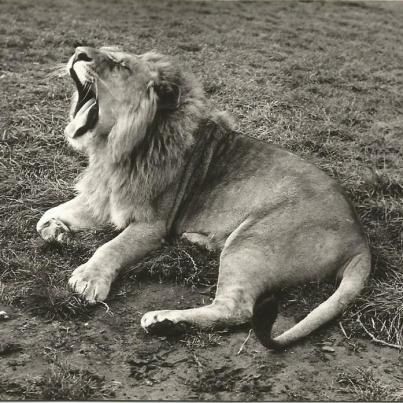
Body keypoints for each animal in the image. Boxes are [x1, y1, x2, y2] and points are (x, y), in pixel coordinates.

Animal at [38, 46, 372, 350]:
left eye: (120, 64)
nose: (78, 52)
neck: (116, 148)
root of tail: (360, 238)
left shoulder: (152, 225)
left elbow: (112, 247)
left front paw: (89, 279)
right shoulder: (104, 199)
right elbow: (43, 219)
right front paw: (58, 231)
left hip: (252, 241)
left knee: (236, 309)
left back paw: (166, 322)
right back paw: (198, 243)